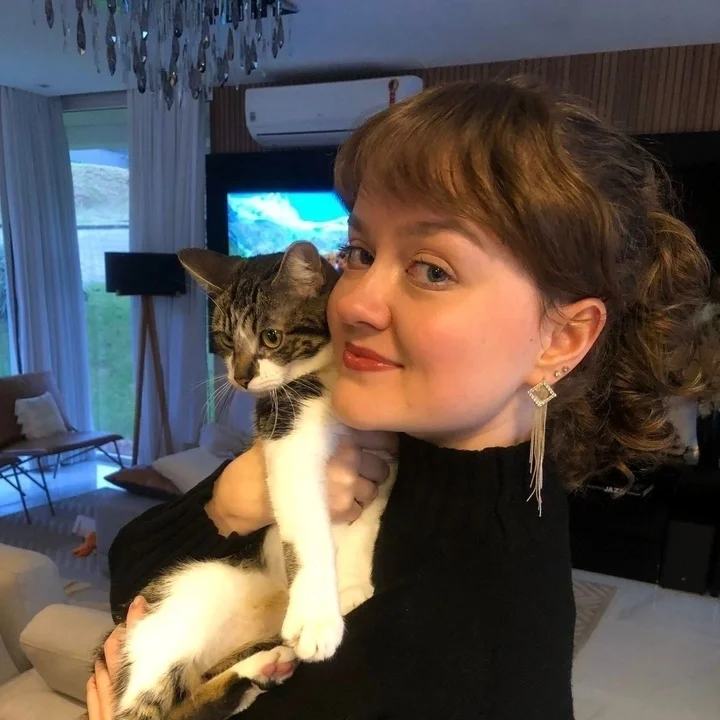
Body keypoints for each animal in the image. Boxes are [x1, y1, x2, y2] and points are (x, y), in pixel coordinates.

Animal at [90, 241, 395, 720]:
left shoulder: (382, 455)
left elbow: (367, 523)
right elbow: (307, 528)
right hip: (189, 591)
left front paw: (350, 585)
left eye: (271, 336)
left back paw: (258, 669)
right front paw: (318, 615)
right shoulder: (286, 435)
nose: (240, 376)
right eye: (227, 341)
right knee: (149, 709)